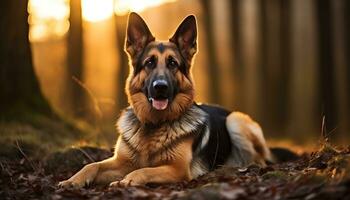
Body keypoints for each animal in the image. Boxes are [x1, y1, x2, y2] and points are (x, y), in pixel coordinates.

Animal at [58, 12, 274, 188]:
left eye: (172, 63)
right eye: (149, 63)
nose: (160, 87)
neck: (153, 124)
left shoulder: (177, 169)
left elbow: (144, 170)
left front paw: (127, 180)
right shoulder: (120, 162)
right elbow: (91, 165)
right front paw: (73, 180)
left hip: (235, 120)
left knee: (260, 159)